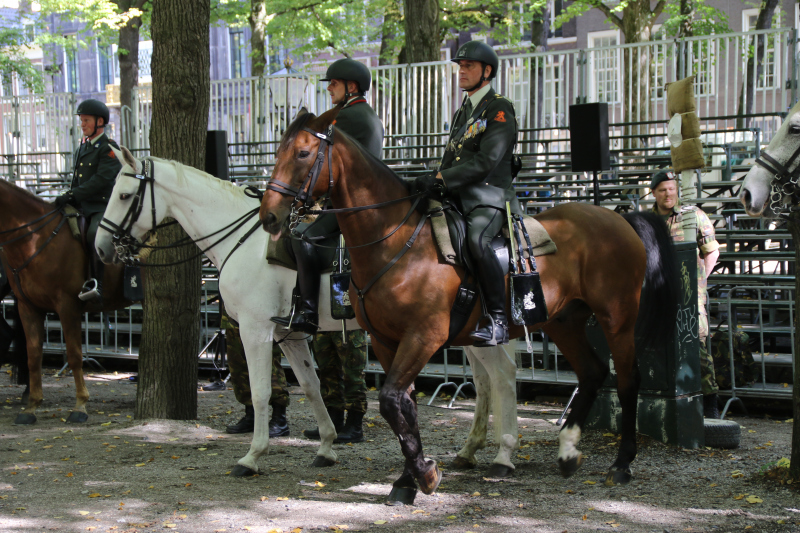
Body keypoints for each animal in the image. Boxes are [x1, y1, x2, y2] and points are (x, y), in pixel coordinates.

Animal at [0, 178, 130, 425]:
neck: (35, 239)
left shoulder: (67, 306)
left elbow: (75, 355)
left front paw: (80, 406)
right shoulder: (28, 307)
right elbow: (34, 356)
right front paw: (31, 407)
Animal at [259, 109, 679, 500]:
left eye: (302, 153)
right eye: (278, 152)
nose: (270, 216)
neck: (392, 240)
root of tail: (620, 218)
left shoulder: (424, 335)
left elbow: (392, 400)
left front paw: (424, 474)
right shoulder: (385, 340)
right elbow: (403, 407)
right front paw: (409, 479)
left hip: (617, 318)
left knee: (627, 380)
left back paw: (621, 463)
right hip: (563, 321)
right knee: (592, 372)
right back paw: (568, 452)